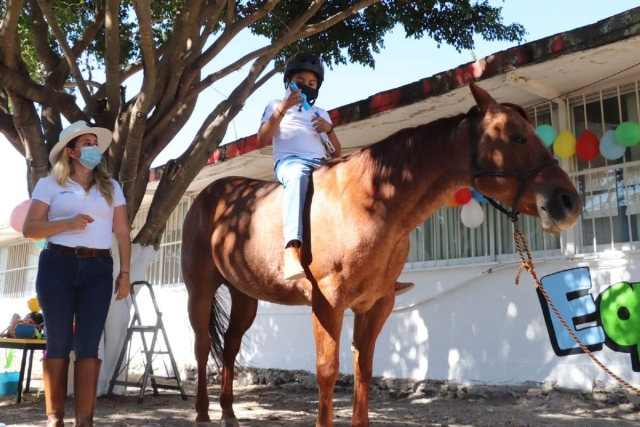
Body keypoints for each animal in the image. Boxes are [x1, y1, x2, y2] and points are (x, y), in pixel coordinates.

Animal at [181, 82, 584, 426]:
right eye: (516, 136)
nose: (569, 202)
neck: (371, 200)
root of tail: (208, 195)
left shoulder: (375, 305)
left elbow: (365, 370)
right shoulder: (328, 304)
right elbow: (327, 372)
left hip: (245, 295)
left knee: (230, 347)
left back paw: (228, 412)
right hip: (200, 291)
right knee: (202, 346)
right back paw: (202, 413)